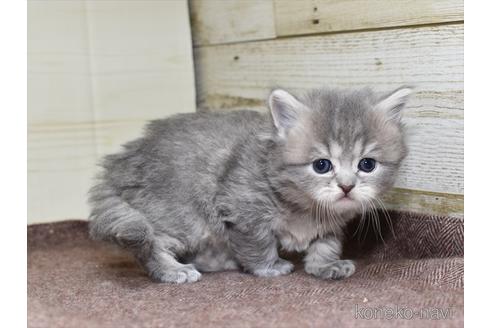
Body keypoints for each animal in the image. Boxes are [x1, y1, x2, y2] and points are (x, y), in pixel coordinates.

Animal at [88, 87, 412, 284]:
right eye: (322, 165)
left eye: (367, 164)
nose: (346, 187)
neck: (304, 206)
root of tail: (121, 161)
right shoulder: (243, 209)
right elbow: (258, 243)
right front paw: (269, 267)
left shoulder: (330, 225)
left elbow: (325, 244)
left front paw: (324, 266)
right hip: (180, 217)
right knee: (151, 244)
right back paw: (172, 270)